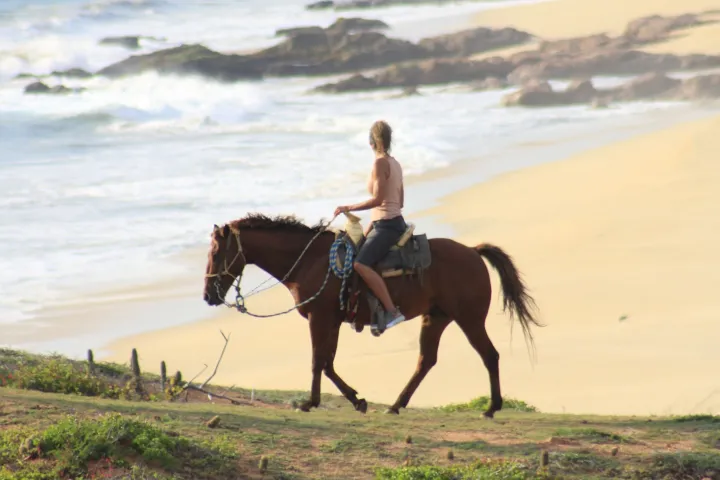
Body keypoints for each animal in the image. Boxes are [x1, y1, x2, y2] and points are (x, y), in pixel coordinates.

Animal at [203, 213, 541, 417]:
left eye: (216, 253)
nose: (208, 296)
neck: (310, 261)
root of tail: (472, 251)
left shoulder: (319, 318)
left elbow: (317, 361)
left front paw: (310, 402)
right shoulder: (332, 321)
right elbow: (328, 363)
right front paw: (357, 400)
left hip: (469, 319)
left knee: (490, 355)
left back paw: (491, 407)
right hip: (436, 317)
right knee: (426, 361)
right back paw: (396, 404)